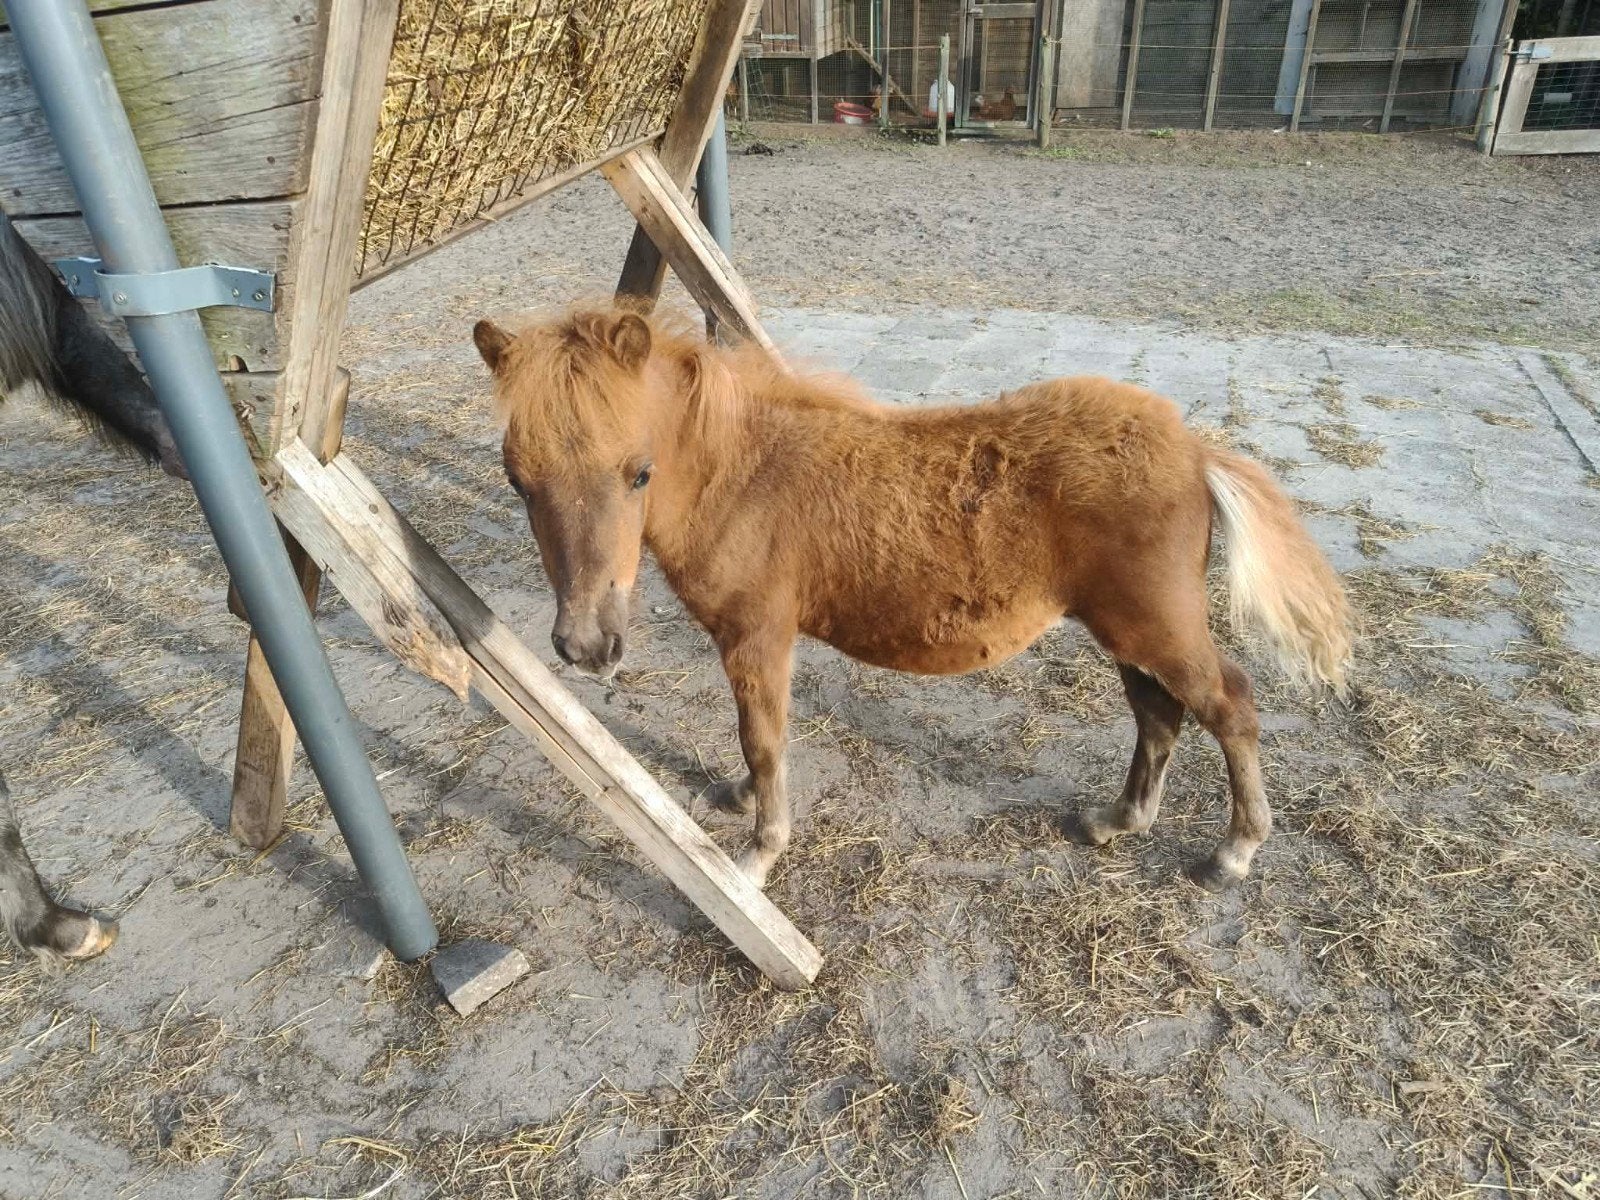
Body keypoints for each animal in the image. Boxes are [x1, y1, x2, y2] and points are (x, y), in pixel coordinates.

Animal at [473, 306, 1351, 892]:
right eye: (517, 479)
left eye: (639, 471)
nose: (588, 645)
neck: (747, 475)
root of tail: (1196, 451)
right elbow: (751, 740)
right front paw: (738, 797)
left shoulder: (759, 635)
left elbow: (765, 739)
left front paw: (758, 852)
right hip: (1127, 630)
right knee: (1158, 714)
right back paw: (1115, 821)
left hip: (1156, 624)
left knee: (1229, 703)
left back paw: (1234, 851)